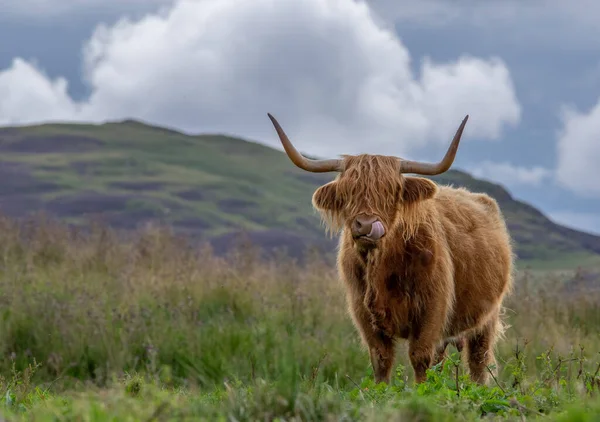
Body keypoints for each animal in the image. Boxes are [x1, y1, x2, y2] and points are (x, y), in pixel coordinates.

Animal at [268, 112, 516, 386]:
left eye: (391, 191)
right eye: (347, 192)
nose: (366, 224)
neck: (383, 266)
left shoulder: (432, 308)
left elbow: (421, 357)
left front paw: (422, 392)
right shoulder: (362, 311)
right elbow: (381, 358)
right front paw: (380, 391)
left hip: (487, 318)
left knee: (478, 362)